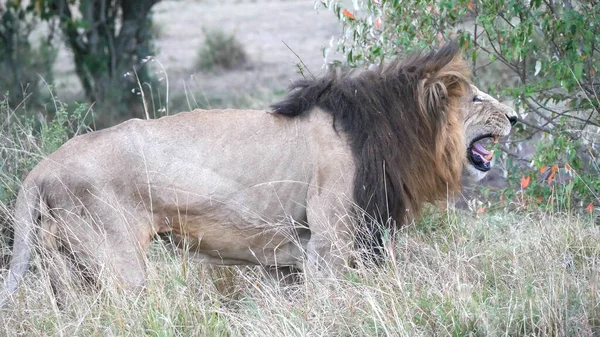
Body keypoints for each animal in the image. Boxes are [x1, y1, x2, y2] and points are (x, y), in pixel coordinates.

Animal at [0, 43, 516, 306]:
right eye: (475, 98)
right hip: (120, 265)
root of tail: (41, 169)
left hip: (68, 268)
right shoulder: (330, 244)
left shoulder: (296, 256)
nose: (516, 116)